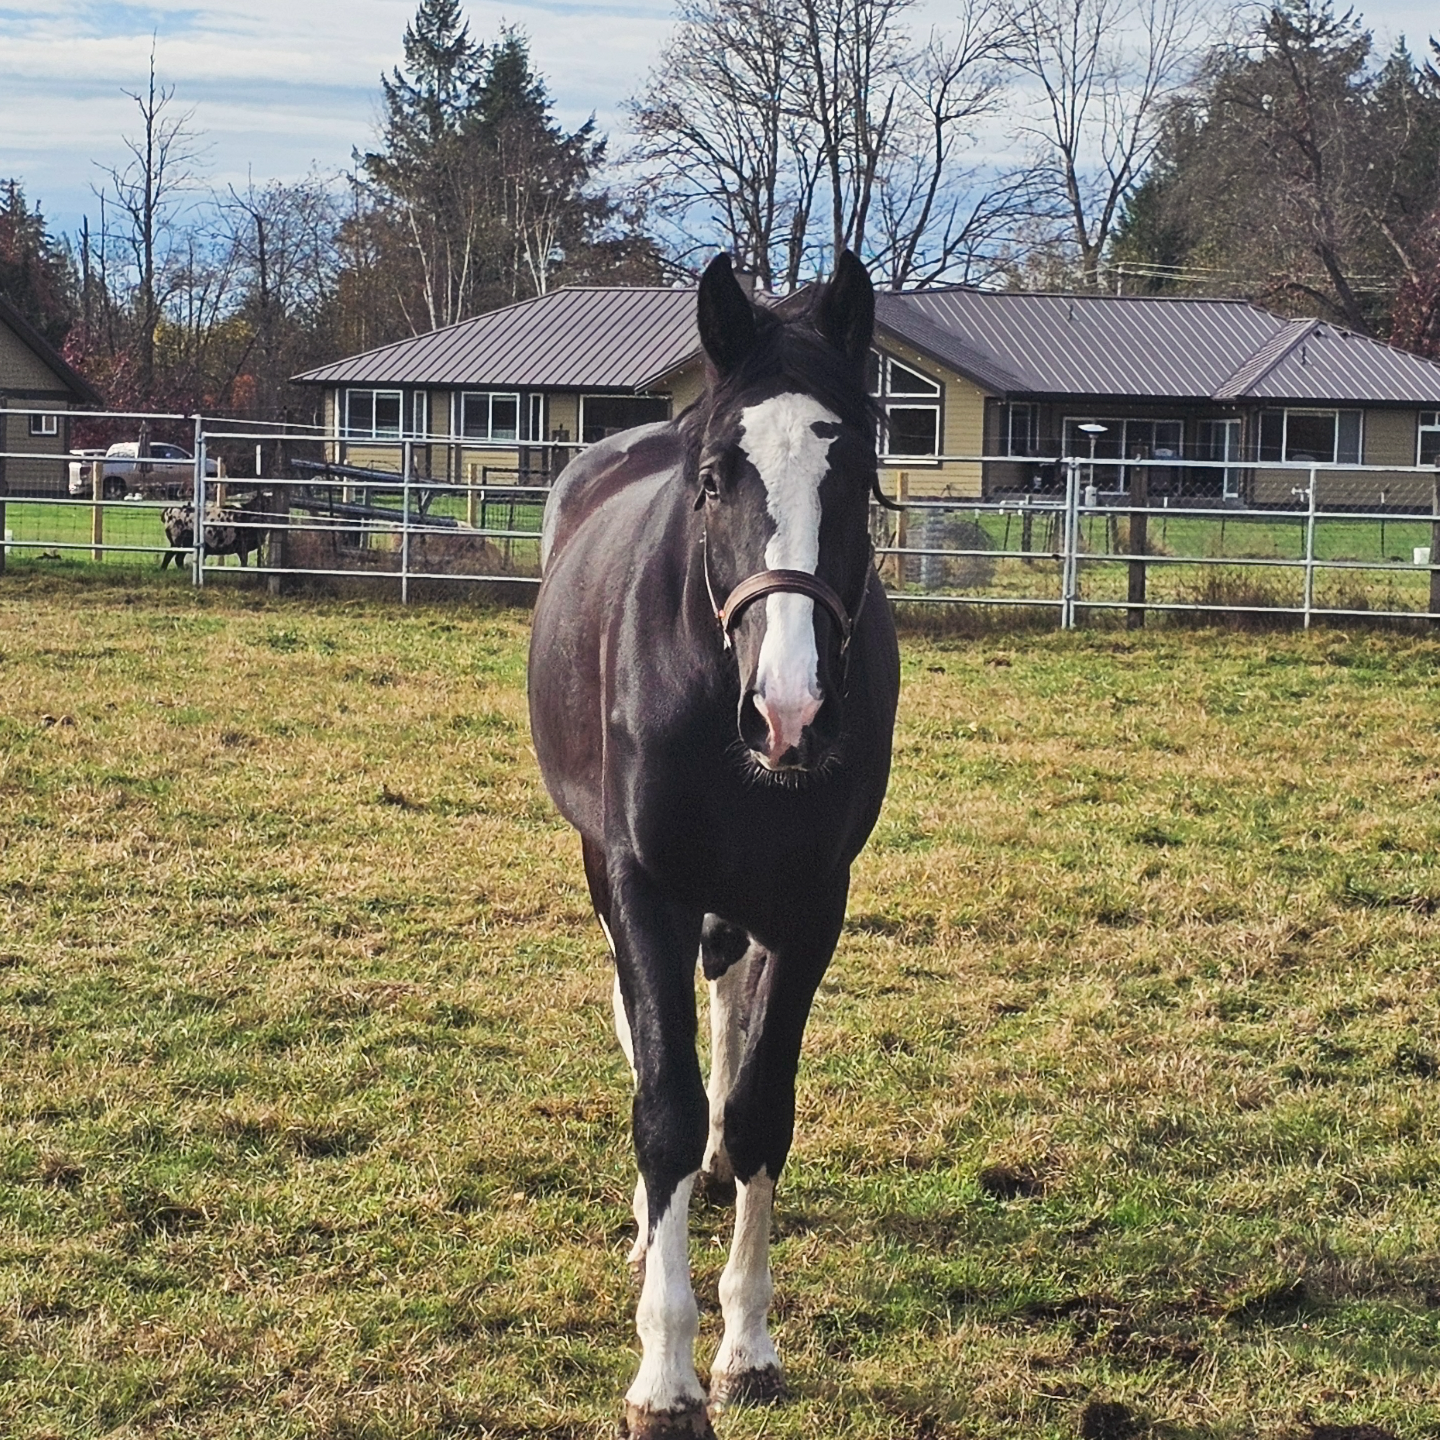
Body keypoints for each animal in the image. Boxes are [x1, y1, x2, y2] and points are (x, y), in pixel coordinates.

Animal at [528, 251, 900, 1439]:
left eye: (858, 470)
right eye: (714, 479)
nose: (789, 713)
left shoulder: (812, 901)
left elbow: (757, 1110)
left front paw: (745, 1348)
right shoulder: (643, 884)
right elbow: (667, 1110)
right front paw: (665, 1373)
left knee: (729, 1014)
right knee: (646, 1037)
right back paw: (652, 1226)